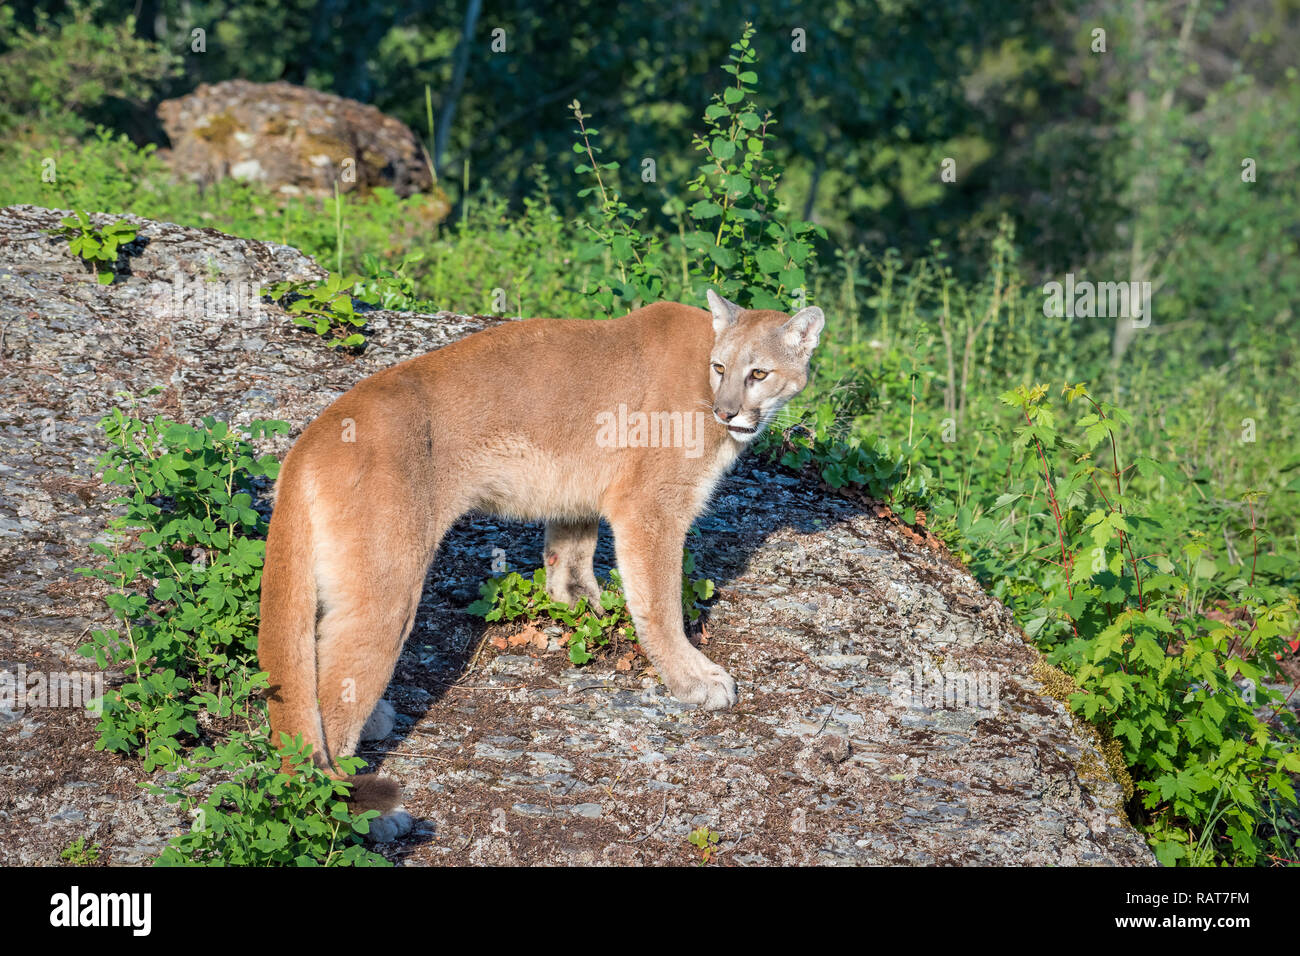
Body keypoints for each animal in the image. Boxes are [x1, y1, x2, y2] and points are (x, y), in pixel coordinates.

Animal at [256, 290, 821, 822]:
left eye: (759, 373)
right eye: (721, 368)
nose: (726, 411)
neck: (703, 375)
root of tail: (308, 440)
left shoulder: (578, 490)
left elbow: (570, 555)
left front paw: (580, 604)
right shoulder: (651, 508)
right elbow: (659, 605)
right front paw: (694, 681)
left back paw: (376, 718)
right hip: (389, 584)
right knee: (331, 706)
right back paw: (368, 815)